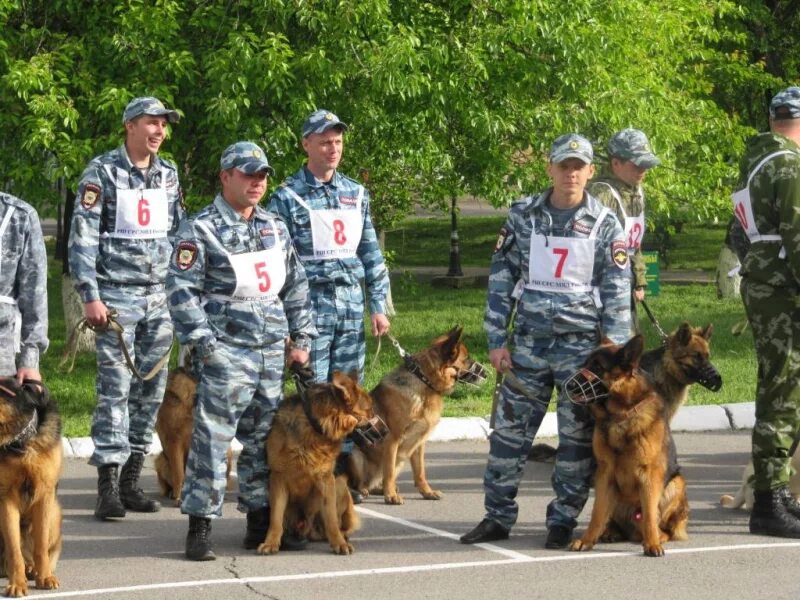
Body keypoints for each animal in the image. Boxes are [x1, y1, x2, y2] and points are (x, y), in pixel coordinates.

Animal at [0, 380, 62, 596]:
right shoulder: (6, 500)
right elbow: (14, 550)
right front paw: (17, 584)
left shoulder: (44, 497)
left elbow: (41, 546)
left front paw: (45, 577)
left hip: (55, 512)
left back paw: (34, 569)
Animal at [260, 370, 376, 556]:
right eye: (370, 411)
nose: (386, 431)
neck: (315, 426)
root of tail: (307, 529)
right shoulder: (278, 479)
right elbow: (275, 518)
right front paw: (270, 543)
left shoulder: (326, 480)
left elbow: (332, 520)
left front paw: (339, 543)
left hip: (339, 484)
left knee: (336, 525)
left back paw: (340, 537)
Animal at [346, 326, 484, 504]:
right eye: (466, 359)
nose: (487, 374)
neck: (424, 382)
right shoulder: (392, 440)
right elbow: (388, 472)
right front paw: (391, 496)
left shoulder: (419, 443)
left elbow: (420, 472)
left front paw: (427, 492)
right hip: (356, 454)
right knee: (359, 482)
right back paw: (363, 491)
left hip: (401, 460)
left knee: (376, 482)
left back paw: (379, 489)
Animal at [564, 336, 692, 556]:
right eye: (584, 364)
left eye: (597, 367)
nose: (570, 385)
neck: (620, 414)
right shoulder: (604, 474)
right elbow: (597, 513)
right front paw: (587, 540)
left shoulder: (649, 475)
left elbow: (649, 515)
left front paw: (652, 544)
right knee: (612, 520)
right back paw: (610, 532)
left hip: (676, 484)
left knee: (662, 526)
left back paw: (657, 537)